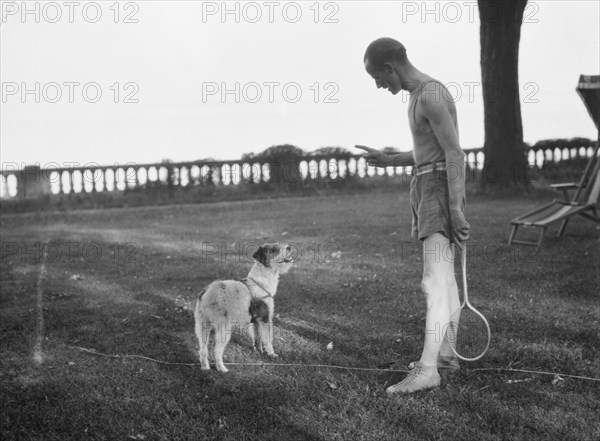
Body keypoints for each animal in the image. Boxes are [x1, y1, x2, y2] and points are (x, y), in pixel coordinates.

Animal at [195, 242, 292, 372]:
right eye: (274, 249)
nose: (289, 247)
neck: (262, 281)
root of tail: (207, 293)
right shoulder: (265, 319)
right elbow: (268, 339)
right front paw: (271, 354)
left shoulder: (256, 321)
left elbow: (257, 337)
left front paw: (258, 351)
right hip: (223, 329)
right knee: (216, 351)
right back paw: (222, 369)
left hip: (203, 326)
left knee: (203, 349)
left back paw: (205, 367)